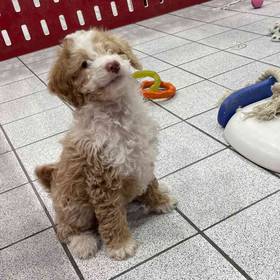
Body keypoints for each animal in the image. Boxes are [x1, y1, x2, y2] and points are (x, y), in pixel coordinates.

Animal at [35, 28, 176, 260]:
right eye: (84, 64)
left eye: (111, 51)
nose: (113, 64)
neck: (118, 113)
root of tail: (53, 183)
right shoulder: (101, 178)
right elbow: (111, 215)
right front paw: (121, 245)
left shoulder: (143, 157)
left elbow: (151, 183)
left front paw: (160, 201)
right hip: (74, 206)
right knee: (65, 229)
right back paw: (82, 242)